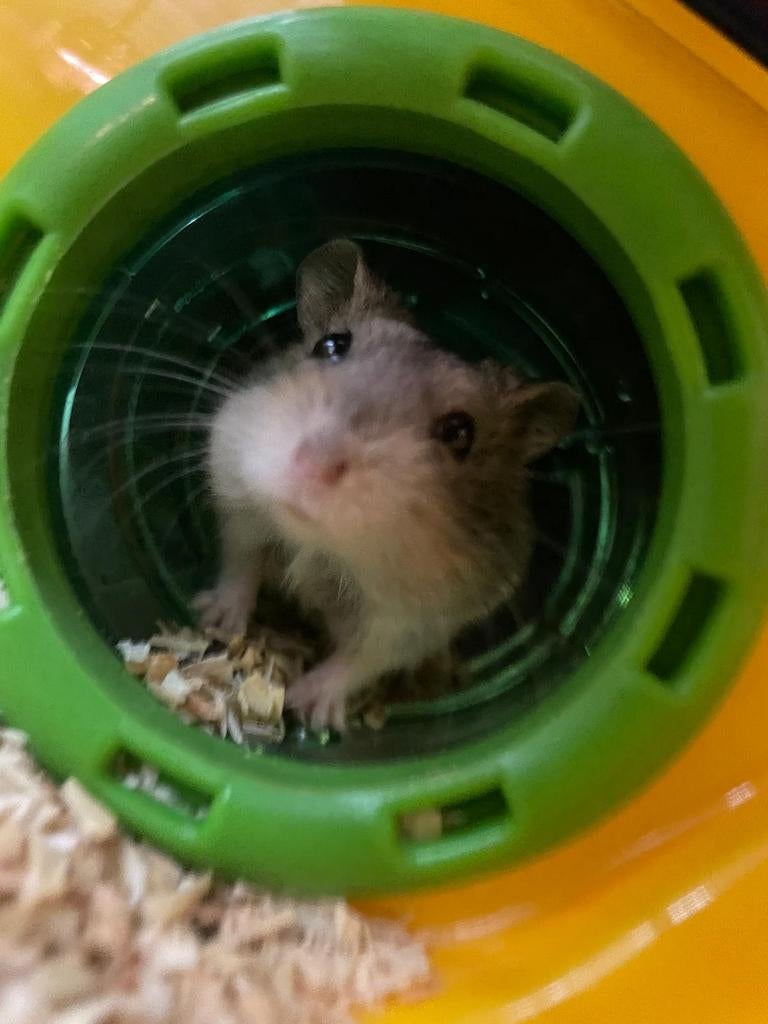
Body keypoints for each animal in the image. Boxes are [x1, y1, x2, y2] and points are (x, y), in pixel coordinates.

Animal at [196, 240, 579, 731]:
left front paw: (310, 707)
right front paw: (214, 619)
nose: (313, 467)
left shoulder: (415, 620)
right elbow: (241, 560)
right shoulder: (237, 492)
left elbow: (362, 659)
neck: (319, 544)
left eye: (461, 433)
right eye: (330, 345)